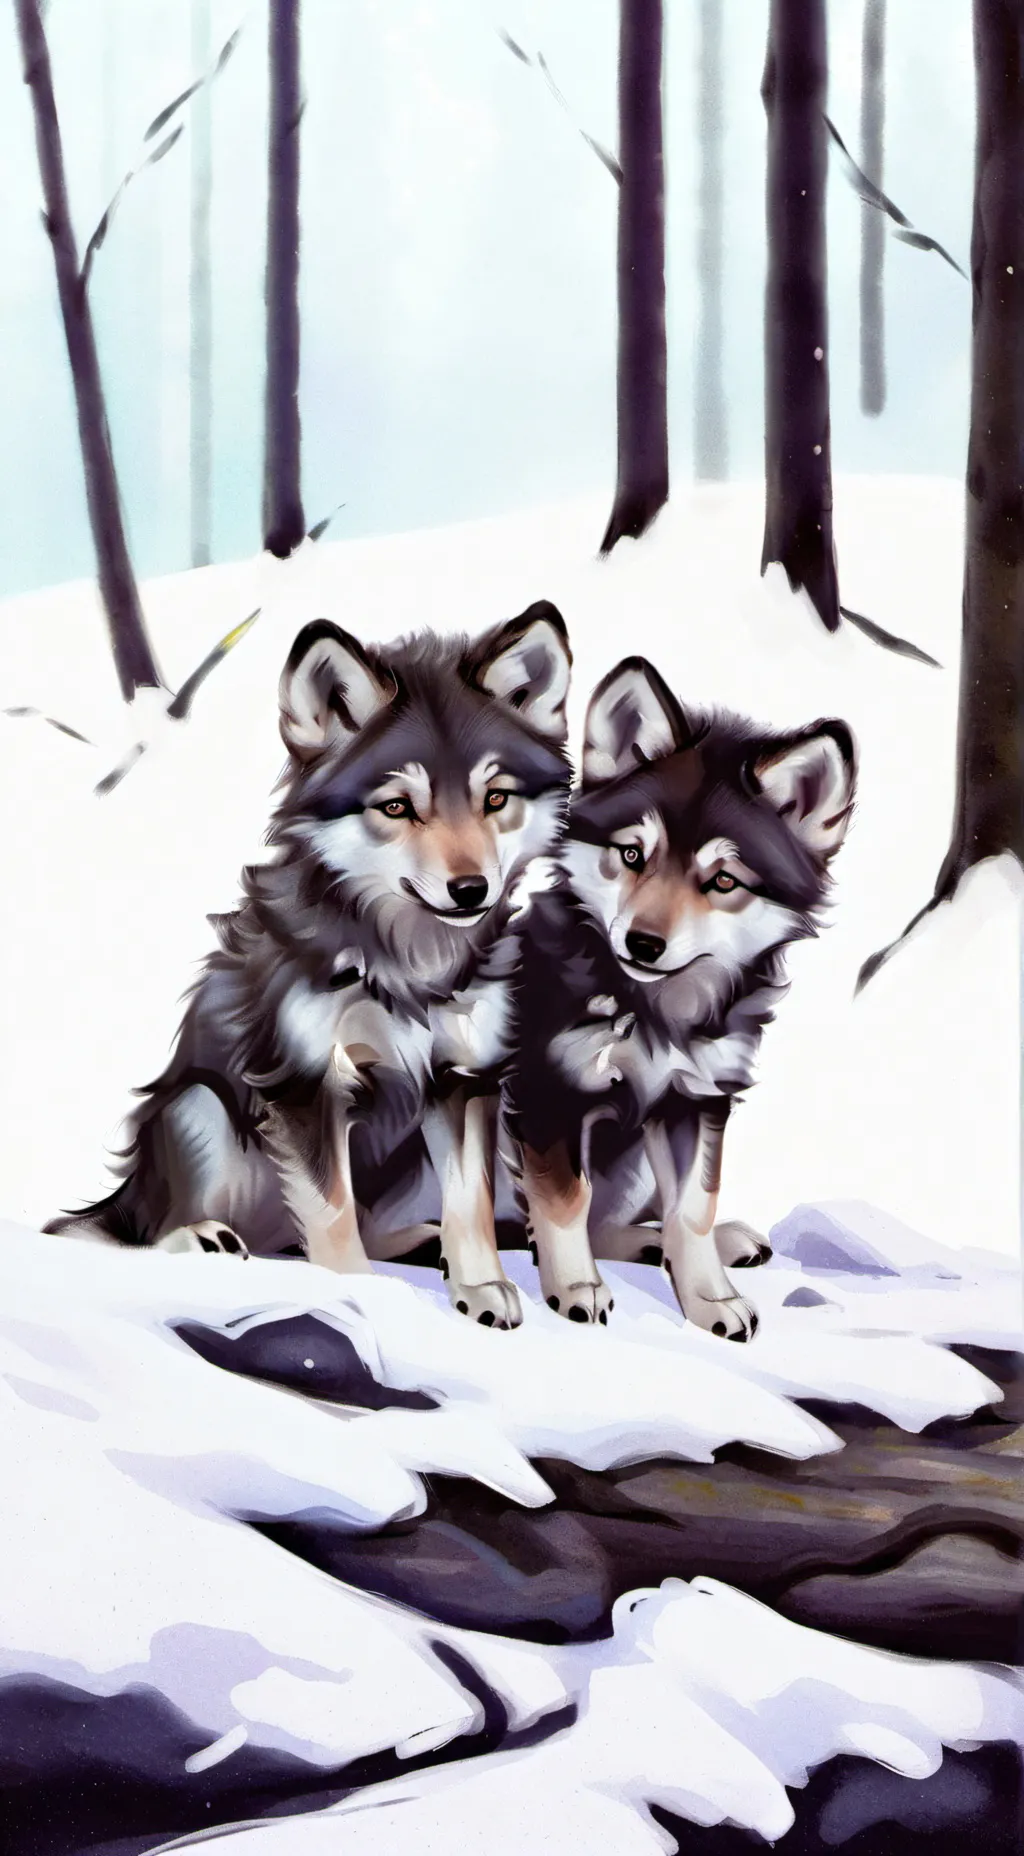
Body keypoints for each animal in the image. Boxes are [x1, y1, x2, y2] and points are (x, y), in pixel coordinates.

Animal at [48, 604, 573, 1330]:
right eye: (397, 806)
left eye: (495, 799)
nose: (470, 891)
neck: (411, 961)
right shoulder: (305, 1084)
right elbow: (331, 1211)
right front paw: (359, 1293)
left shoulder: (463, 1081)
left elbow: (469, 1203)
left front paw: (481, 1288)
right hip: (200, 1107)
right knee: (147, 1230)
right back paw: (201, 1238)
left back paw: (423, 1243)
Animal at [507, 655, 857, 1339]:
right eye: (632, 853)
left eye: (722, 881)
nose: (642, 944)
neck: (652, 1010)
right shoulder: (548, 1094)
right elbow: (565, 1200)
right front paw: (576, 1289)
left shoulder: (696, 1102)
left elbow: (693, 1207)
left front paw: (709, 1299)